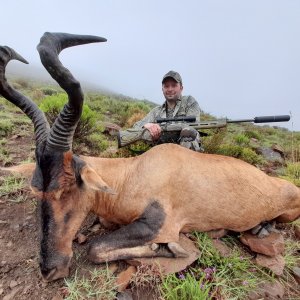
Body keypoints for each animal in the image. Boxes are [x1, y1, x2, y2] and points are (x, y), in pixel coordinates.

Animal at [0, 32, 300, 282]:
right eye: (35, 190)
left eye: (65, 188)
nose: (49, 270)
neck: (132, 173)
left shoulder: (159, 223)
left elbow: (95, 248)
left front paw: (171, 249)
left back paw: (258, 228)